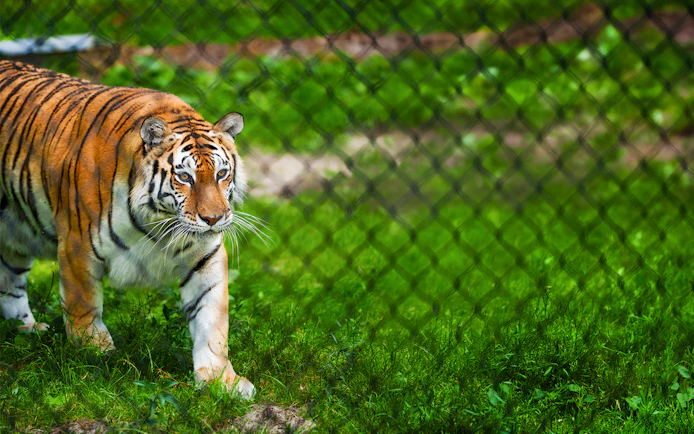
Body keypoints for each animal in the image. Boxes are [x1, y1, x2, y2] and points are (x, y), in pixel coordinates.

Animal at [0, 60, 255, 398]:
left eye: (222, 174)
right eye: (184, 177)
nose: (213, 219)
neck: (159, 221)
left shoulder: (205, 257)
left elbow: (211, 320)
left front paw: (219, 380)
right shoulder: (77, 246)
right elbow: (84, 306)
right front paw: (94, 355)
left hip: (14, 234)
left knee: (9, 281)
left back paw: (27, 330)